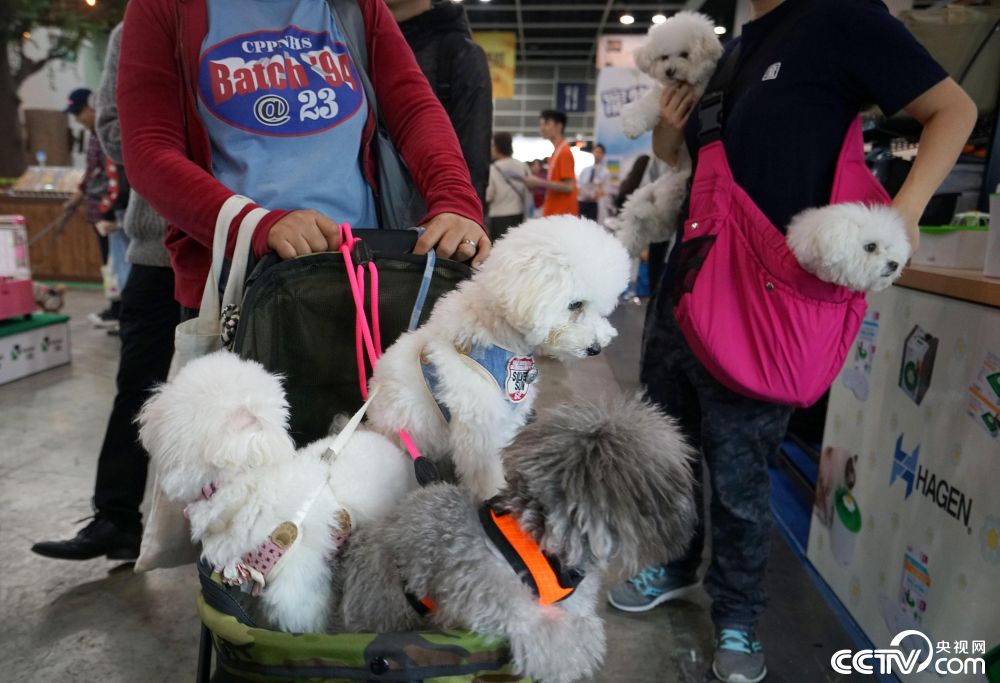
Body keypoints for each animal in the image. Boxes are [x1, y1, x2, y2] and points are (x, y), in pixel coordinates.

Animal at [368, 216, 632, 500]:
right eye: (575, 304)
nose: (596, 348)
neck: (495, 336)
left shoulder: (506, 419)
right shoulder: (479, 430)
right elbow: (487, 476)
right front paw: (493, 497)